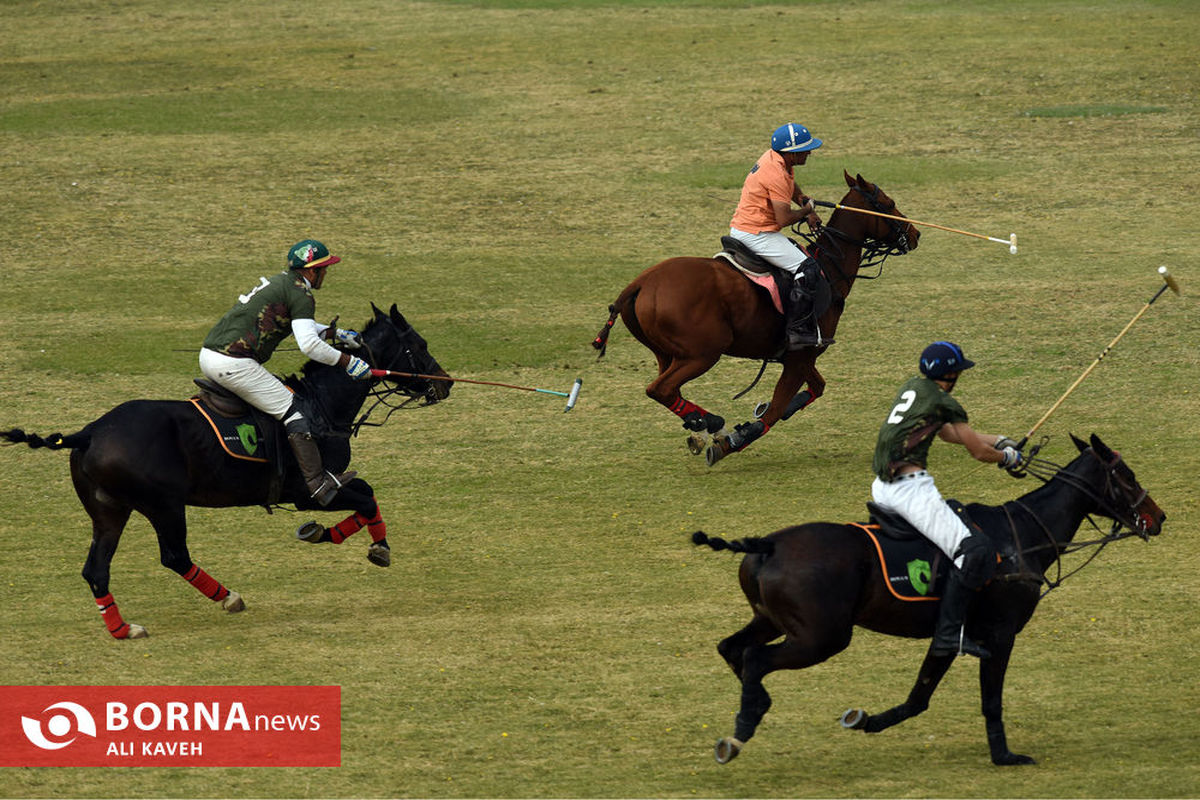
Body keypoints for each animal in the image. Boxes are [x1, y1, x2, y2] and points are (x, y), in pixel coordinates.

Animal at [1, 303, 451, 642]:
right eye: (419, 344)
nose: (445, 383)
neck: (322, 403)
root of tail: (90, 432)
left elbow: (365, 492)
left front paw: (325, 533)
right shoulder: (311, 491)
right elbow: (367, 497)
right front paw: (371, 545)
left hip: (109, 510)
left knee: (96, 570)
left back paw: (124, 629)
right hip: (164, 505)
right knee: (174, 556)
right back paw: (228, 596)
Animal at [590, 172, 916, 465]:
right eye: (889, 203)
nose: (915, 234)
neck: (828, 270)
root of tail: (641, 283)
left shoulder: (798, 357)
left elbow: (814, 389)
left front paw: (757, 411)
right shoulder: (800, 357)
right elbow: (773, 414)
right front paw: (734, 439)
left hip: (667, 354)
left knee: (667, 390)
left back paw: (699, 425)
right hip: (703, 353)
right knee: (660, 388)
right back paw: (713, 424)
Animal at [691, 434, 1166, 767]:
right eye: (1126, 475)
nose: (1158, 517)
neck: (1022, 537)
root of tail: (767, 546)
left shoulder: (950, 637)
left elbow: (918, 697)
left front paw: (866, 720)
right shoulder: (1000, 634)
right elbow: (990, 700)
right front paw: (1005, 757)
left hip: (771, 619)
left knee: (733, 648)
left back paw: (754, 710)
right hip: (822, 637)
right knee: (755, 658)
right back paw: (742, 727)